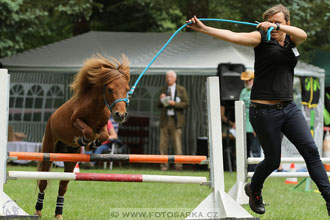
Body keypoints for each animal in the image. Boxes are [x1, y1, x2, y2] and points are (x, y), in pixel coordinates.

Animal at [34, 54, 130, 219]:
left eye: (127, 90)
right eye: (110, 89)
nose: (120, 115)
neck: (96, 106)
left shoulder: (103, 125)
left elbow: (103, 134)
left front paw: (92, 144)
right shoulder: (75, 121)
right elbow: (87, 130)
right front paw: (83, 140)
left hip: (71, 160)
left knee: (62, 186)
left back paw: (58, 214)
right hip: (49, 152)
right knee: (43, 182)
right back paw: (38, 211)